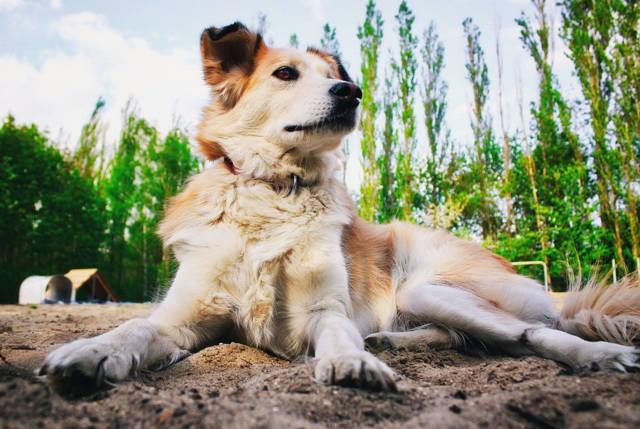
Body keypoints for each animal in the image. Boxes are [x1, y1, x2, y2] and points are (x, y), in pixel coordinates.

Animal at [40, 23, 640, 392]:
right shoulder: (182, 318)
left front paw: (352, 362)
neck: (274, 191)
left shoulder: (326, 311)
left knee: (532, 333)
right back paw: (394, 338)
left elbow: (335, 335)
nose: (351, 91)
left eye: (335, 77)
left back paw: (598, 357)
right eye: (285, 73)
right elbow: (133, 329)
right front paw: (89, 352)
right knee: (464, 338)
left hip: (432, 288)